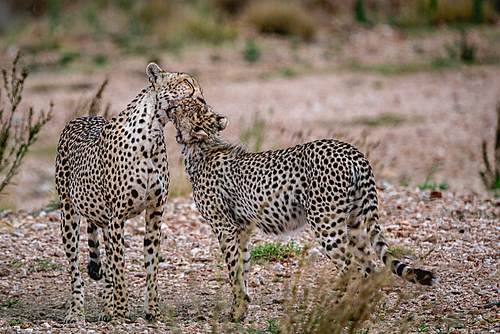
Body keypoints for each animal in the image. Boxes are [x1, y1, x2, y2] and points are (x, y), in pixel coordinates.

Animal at [54, 63, 203, 324]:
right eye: (187, 83)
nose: (202, 98)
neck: (153, 134)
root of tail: (82, 117)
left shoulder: (154, 213)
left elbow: (150, 265)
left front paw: (152, 311)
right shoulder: (117, 217)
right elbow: (119, 267)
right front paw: (122, 312)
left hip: (101, 219)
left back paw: (106, 310)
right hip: (68, 213)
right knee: (75, 270)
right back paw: (77, 312)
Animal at [167, 96, 438, 320]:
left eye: (186, 105)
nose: (172, 104)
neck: (201, 148)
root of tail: (352, 150)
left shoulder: (225, 228)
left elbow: (234, 271)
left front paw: (235, 314)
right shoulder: (241, 228)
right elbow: (243, 268)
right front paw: (242, 309)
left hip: (326, 224)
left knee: (353, 270)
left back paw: (341, 313)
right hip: (354, 223)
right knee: (369, 269)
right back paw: (361, 311)